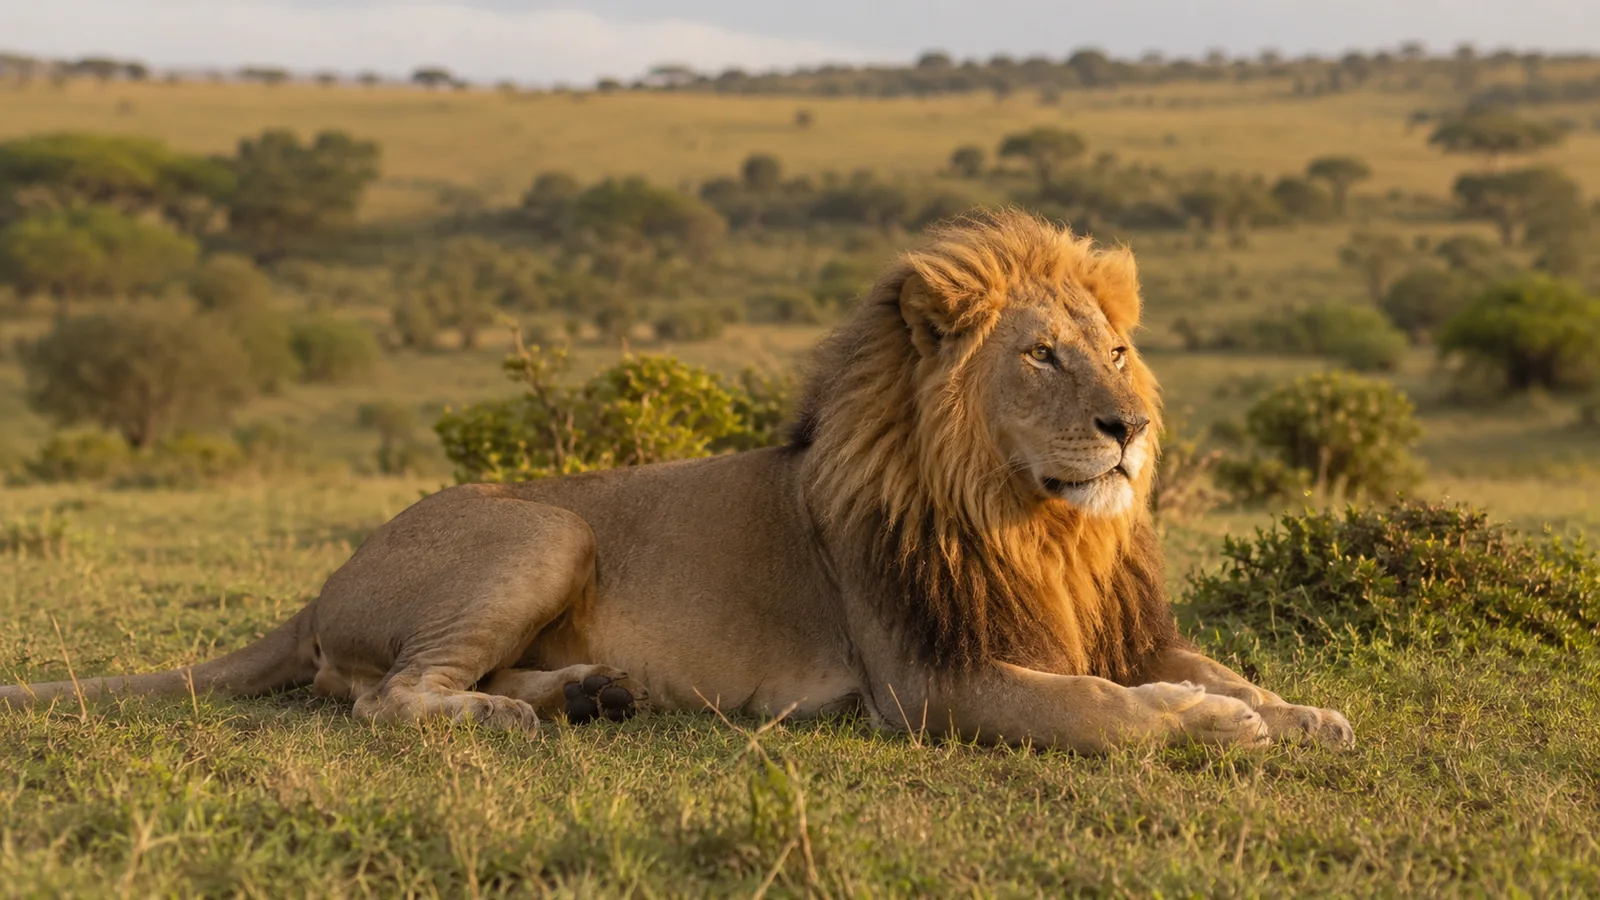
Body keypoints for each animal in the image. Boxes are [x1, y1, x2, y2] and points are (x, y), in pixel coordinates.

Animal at [1, 211, 1352, 752]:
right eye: (1041, 356)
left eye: (1115, 351)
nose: (1128, 427)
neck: (1034, 526)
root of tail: (322, 585)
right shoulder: (931, 680)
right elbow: (1107, 713)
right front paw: (1217, 728)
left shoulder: (1108, 625)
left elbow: (1209, 667)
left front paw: (1296, 712)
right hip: (543, 530)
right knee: (389, 697)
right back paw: (512, 716)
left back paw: (589, 694)